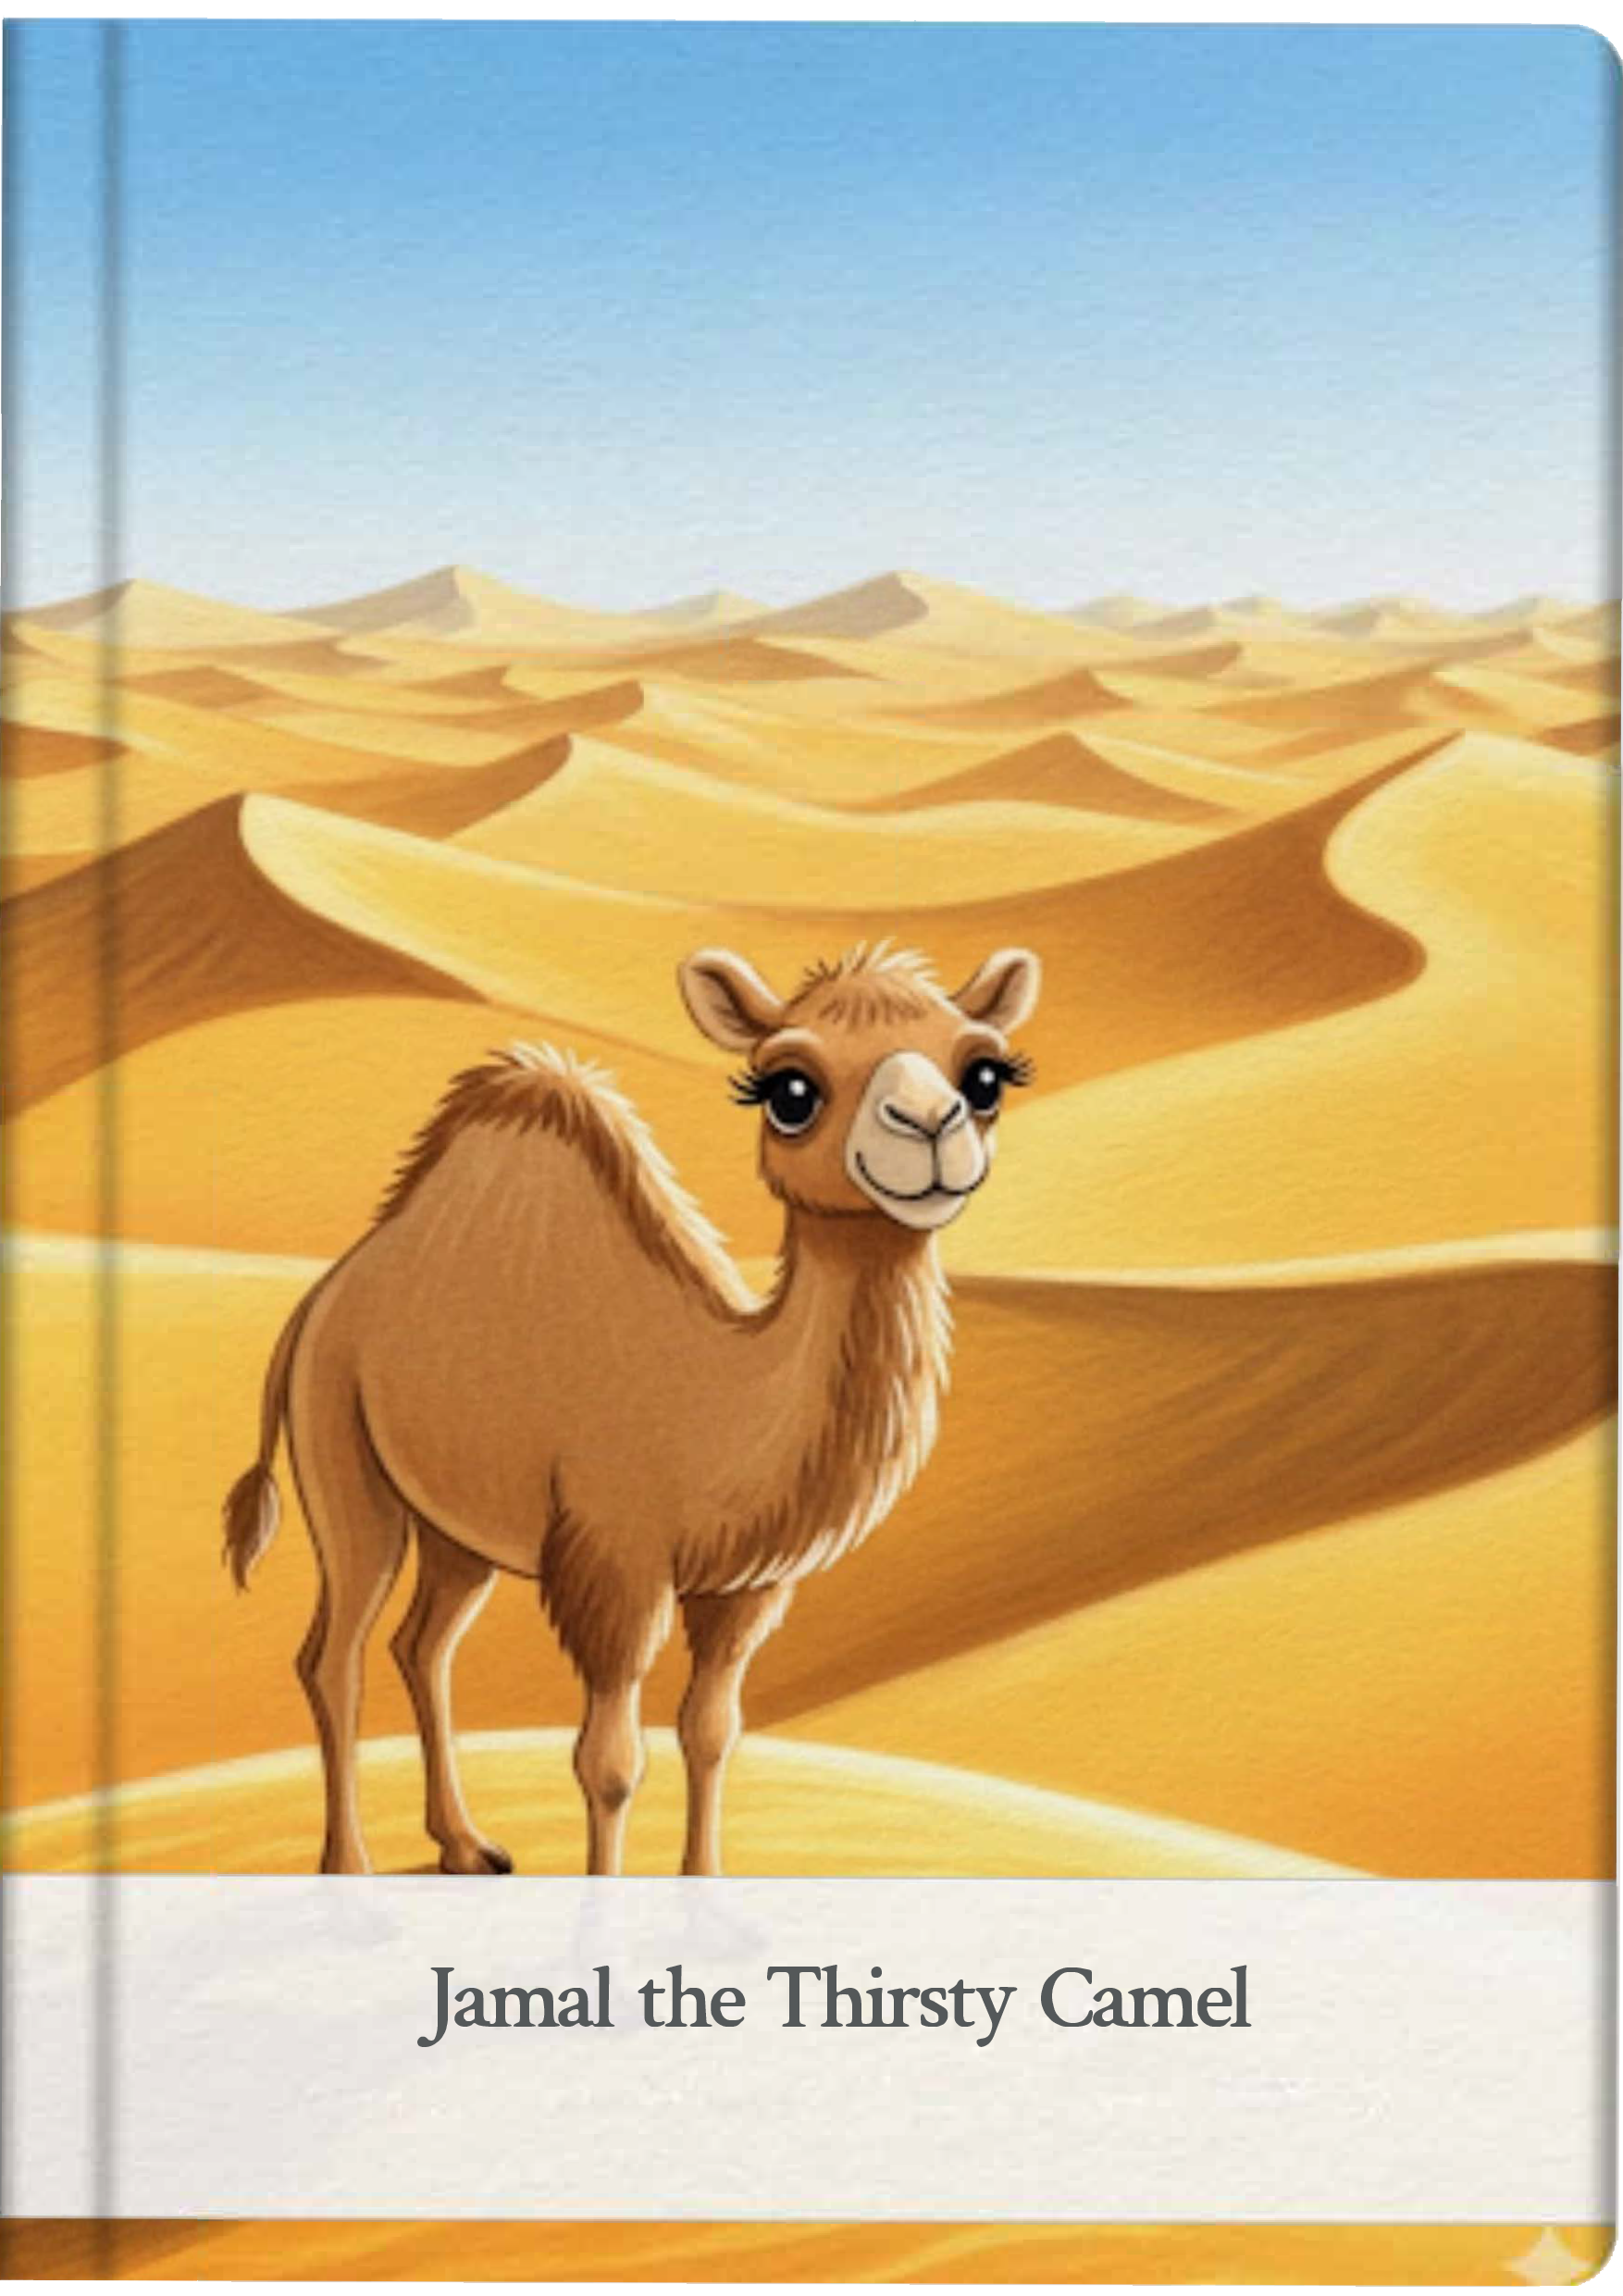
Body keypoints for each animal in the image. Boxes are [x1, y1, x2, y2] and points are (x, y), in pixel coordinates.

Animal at [222, 940, 1041, 1876]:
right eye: (789, 1090)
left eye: (986, 1075)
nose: (931, 1127)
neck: (721, 1391)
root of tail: (319, 1302)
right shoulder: (614, 1563)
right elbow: (609, 1761)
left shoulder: (743, 1586)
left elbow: (712, 1730)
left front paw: (705, 1887)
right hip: (341, 1448)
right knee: (335, 1655)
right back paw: (349, 1863)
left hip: (456, 1527)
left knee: (421, 1645)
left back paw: (467, 1844)